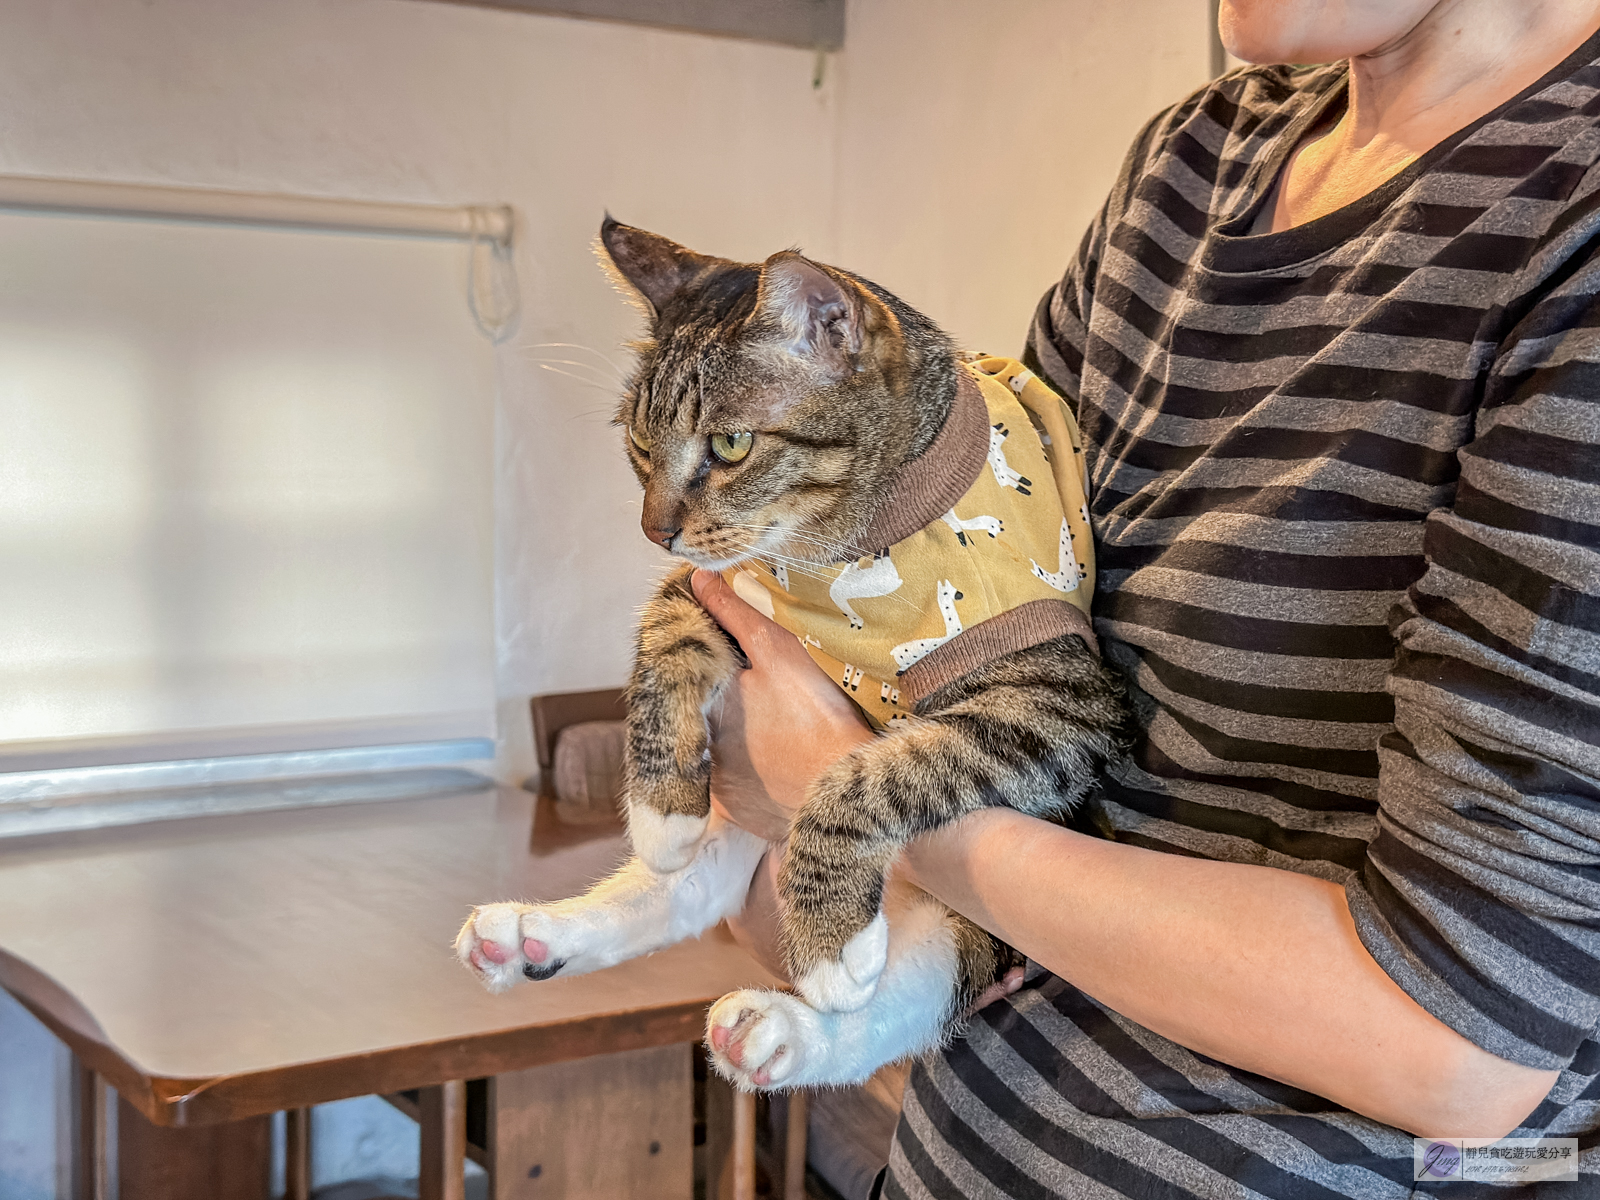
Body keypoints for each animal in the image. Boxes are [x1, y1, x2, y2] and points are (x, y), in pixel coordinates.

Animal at [454, 220, 1126, 1094]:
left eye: (730, 444)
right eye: (640, 446)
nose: (654, 530)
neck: (841, 549)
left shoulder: (1056, 698)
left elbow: (875, 771)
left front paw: (831, 944)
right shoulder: (717, 585)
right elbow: (661, 636)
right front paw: (660, 812)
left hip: (977, 917)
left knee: (925, 978)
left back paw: (786, 1025)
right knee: (690, 888)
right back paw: (533, 933)